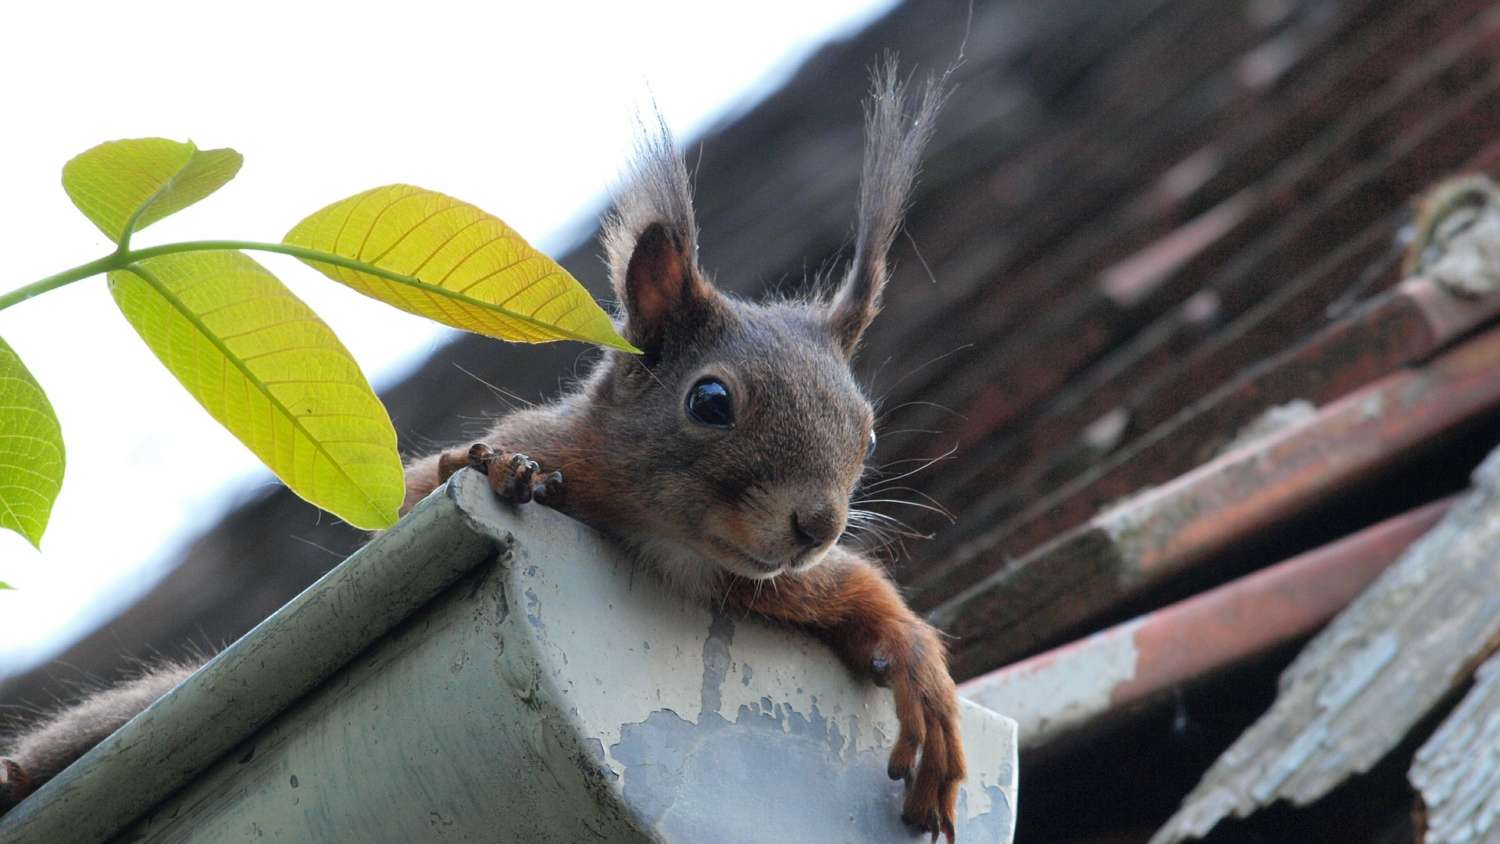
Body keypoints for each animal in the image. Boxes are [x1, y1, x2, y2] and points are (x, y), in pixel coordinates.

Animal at [0, 64, 966, 839]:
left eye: (867, 429)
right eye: (712, 401)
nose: (816, 524)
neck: (670, 541)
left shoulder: (759, 582)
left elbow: (856, 594)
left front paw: (920, 672)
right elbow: (415, 495)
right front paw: (494, 470)